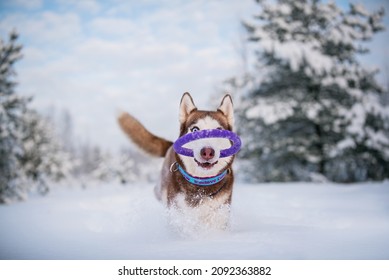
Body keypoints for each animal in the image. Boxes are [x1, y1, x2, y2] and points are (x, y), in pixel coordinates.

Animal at [116, 93, 235, 229]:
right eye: (195, 129)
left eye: (219, 131)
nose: (208, 152)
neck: (201, 186)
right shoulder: (178, 211)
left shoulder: (219, 214)